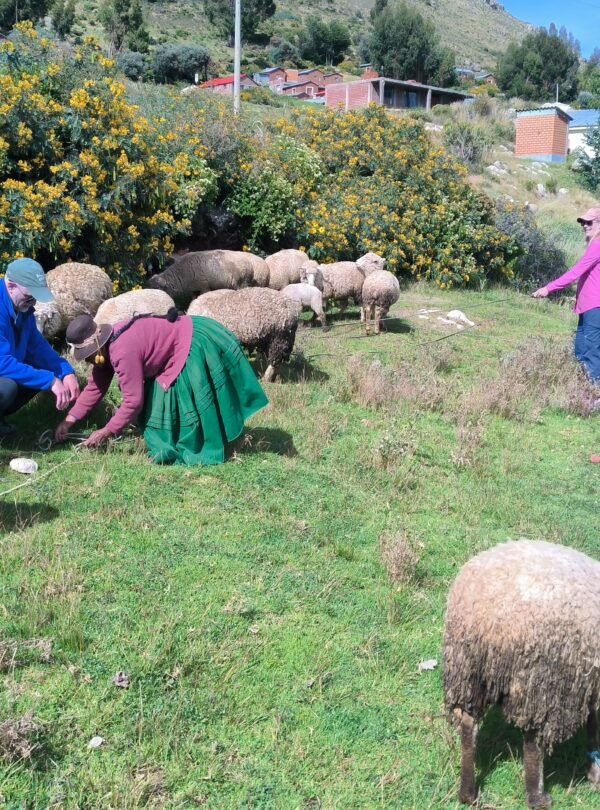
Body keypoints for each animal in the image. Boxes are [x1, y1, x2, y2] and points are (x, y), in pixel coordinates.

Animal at [443, 539, 600, 809]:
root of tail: (488, 618)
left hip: (468, 670)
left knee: (468, 724)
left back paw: (468, 794)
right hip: (544, 679)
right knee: (534, 741)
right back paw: (537, 797)